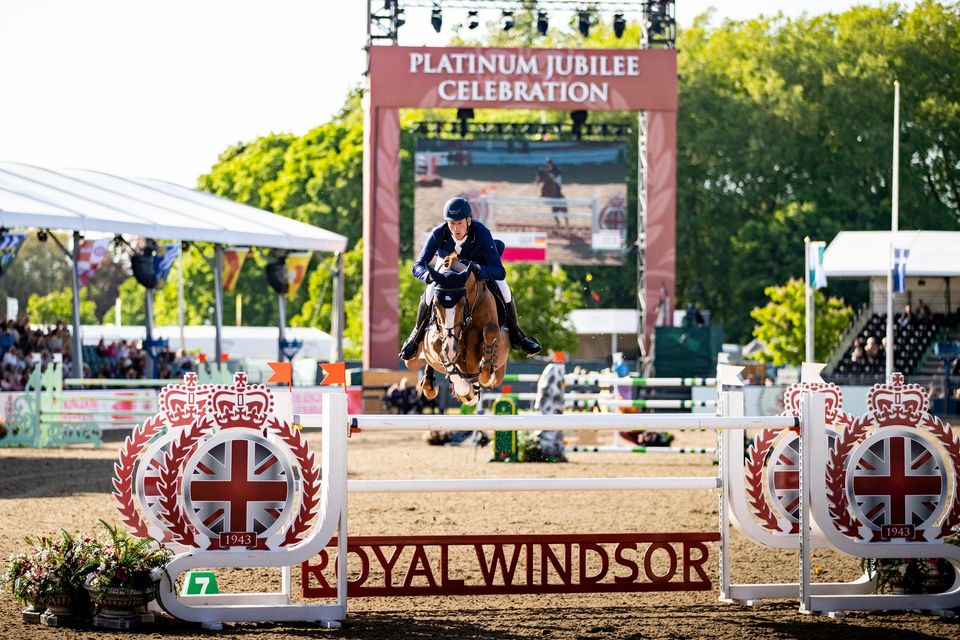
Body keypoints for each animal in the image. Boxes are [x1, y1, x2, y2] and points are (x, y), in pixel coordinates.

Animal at [404, 256, 510, 402]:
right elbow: (437, 346)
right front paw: (465, 391)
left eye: (463, 303)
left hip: (501, 371)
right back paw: (429, 383)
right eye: (435, 304)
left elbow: (490, 332)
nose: (451, 349)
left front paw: (485, 374)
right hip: (412, 361)